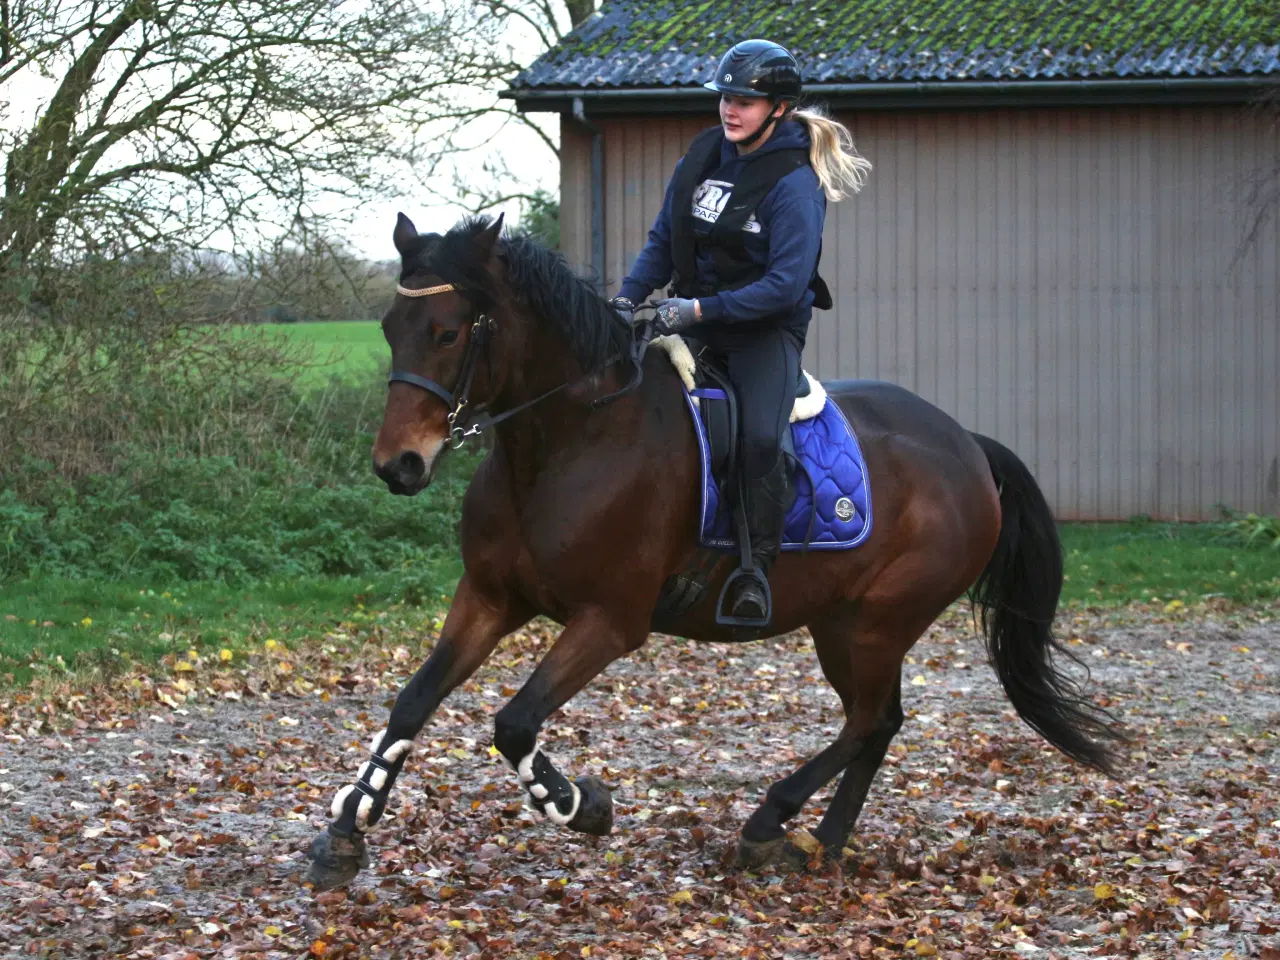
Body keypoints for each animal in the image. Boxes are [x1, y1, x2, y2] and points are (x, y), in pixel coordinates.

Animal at [304, 213, 1126, 890]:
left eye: (447, 332)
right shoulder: (489, 599)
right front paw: (347, 830)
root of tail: (968, 445)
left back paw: (771, 823)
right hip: (844, 623)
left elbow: (515, 723)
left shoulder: (610, 621)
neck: (567, 441)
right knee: (879, 722)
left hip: (875, 622)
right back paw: (823, 841)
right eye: (390, 326)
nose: (398, 465)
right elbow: (414, 700)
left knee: (869, 722)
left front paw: (580, 805)